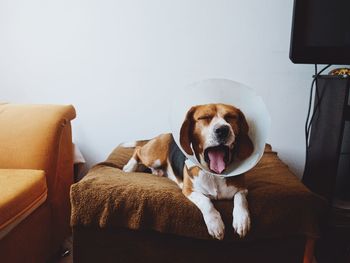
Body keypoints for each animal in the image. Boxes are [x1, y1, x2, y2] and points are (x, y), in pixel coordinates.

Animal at [121, 103, 253, 241]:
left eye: (231, 117)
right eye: (205, 117)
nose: (222, 130)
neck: (214, 174)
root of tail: (165, 134)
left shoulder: (242, 189)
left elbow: (240, 199)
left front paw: (242, 221)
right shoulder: (189, 190)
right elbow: (206, 202)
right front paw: (215, 224)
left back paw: (158, 172)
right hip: (154, 157)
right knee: (138, 149)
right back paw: (130, 167)